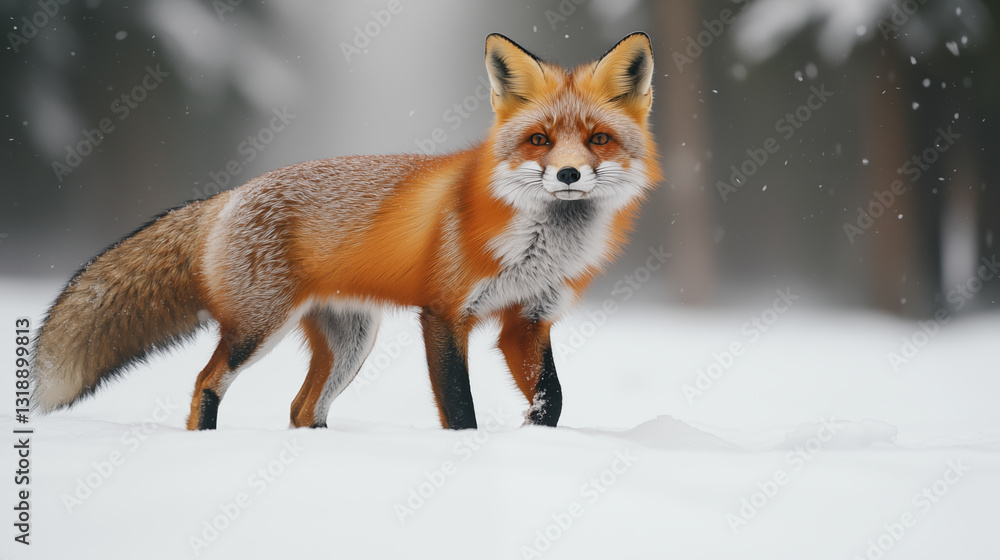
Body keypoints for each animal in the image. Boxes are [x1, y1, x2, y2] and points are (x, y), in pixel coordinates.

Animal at [31, 32, 661, 431]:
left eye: (598, 138)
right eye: (540, 140)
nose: (569, 173)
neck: (537, 245)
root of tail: (227, 196)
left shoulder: (527, 319)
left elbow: (552, 400)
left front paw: (536, 438)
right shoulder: (444, 313)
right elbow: (460, 409)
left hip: (351, 343)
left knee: (302, 408)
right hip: (257, 330)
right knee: (207, 383)